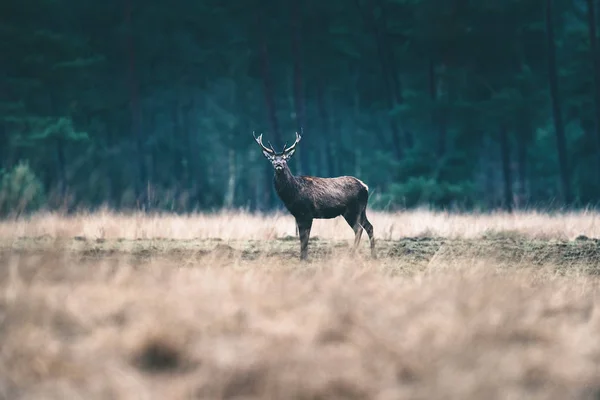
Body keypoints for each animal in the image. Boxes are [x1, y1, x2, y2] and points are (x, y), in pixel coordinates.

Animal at [253, 131, 376, 260]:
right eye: (272, 159)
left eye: (285, 159)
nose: (278, 165)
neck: (293, 194)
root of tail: (365, 187)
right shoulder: (298, 215)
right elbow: (302, 237)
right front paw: (302, 257)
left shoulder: (307, 213)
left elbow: (305, 237)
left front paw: (305, 258)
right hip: (361, 210)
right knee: (369, 227)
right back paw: (373, 255)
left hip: (352, 210)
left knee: (358, 229)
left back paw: (352, 254)